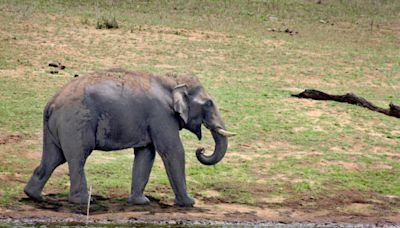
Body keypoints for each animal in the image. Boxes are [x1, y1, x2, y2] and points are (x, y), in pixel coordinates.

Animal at [23, 67, 236, 207]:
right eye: (208, 103)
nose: (201, 149)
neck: (171, 80)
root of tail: (50, 104)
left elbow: (146, 154)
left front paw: (140, 202)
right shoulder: (161, 115)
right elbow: (173, 151)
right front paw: (189, 203)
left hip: (58, 126)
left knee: (54, 157)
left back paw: (35, 196)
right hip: (76, 121)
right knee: (77, 157)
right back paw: (83, 201)